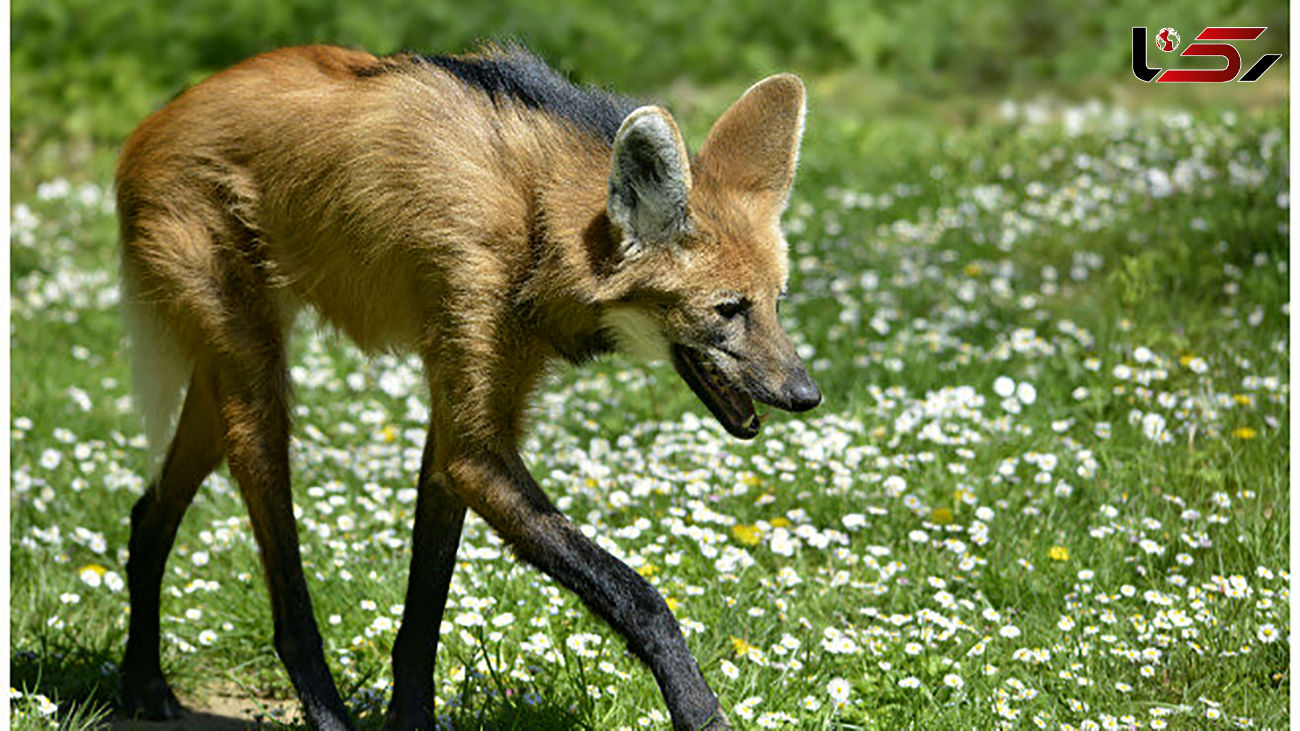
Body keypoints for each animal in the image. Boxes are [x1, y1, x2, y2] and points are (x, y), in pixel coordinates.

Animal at [116, 42, 816, 723]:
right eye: (728, 310)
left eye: (777, 303)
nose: (805, 394)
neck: (537, 222)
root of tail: (152, 124)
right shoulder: (475, 427)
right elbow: (637, 594)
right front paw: (700, 708)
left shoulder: (465, 418)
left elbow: (425, 605)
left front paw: (412, 719)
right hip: (254, 377)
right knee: (283, 592)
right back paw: (320, 711)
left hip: (227, 376)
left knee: (148, 514)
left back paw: (143, 680)